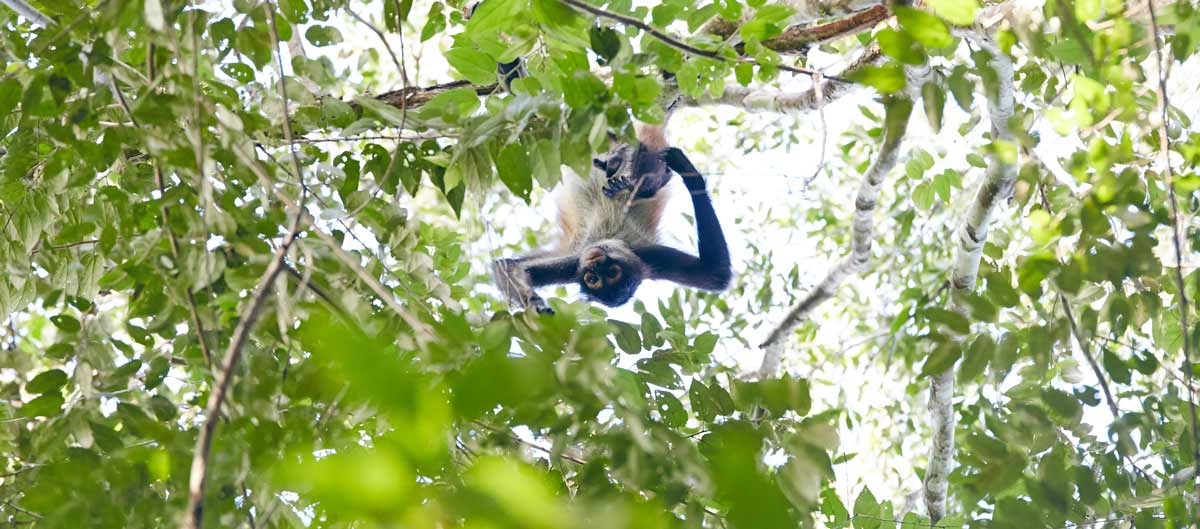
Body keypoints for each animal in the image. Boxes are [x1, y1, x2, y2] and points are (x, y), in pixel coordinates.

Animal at [492, 122, 734, 314]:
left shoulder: (646, 256)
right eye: (593, 279)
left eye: (611, 273)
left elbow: (715, 274)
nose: (595, 264)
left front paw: (691, 176)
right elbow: (506, 266)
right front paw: (534, 304)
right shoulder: (577, 262)